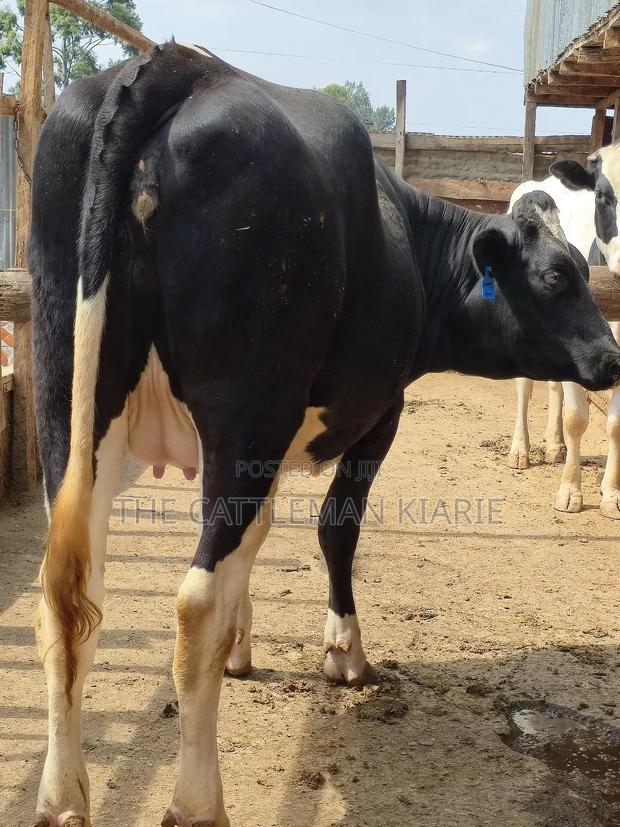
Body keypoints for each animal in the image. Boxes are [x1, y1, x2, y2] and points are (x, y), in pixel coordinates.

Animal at [507, 158, 620, 519]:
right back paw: (520, 450)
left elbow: (615, 424)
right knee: (524, 387)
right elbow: (576, 418)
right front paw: (570, 491)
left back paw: (555, 445)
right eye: (602, 195)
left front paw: (612, 494)